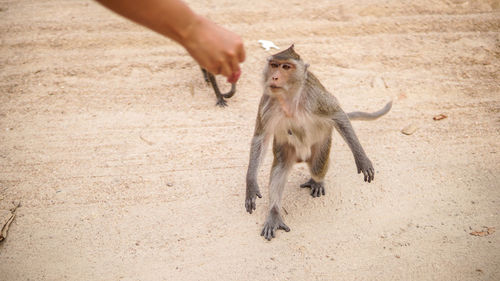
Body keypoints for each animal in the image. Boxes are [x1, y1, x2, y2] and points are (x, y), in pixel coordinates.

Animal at [244, 44, 392, 240]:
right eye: (274, 65)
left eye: (286, 67)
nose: (274, 76)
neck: (289, 98)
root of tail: (301, 157)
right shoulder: (267, 102)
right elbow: (260, 138)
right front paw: (251, 183)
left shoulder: (316, 98)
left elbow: (338, 115)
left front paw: (362, 159)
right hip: (286, 148)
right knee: (280, 168)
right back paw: (274, 213)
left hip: (324, 141)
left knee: (317, 166)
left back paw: (317, 181)